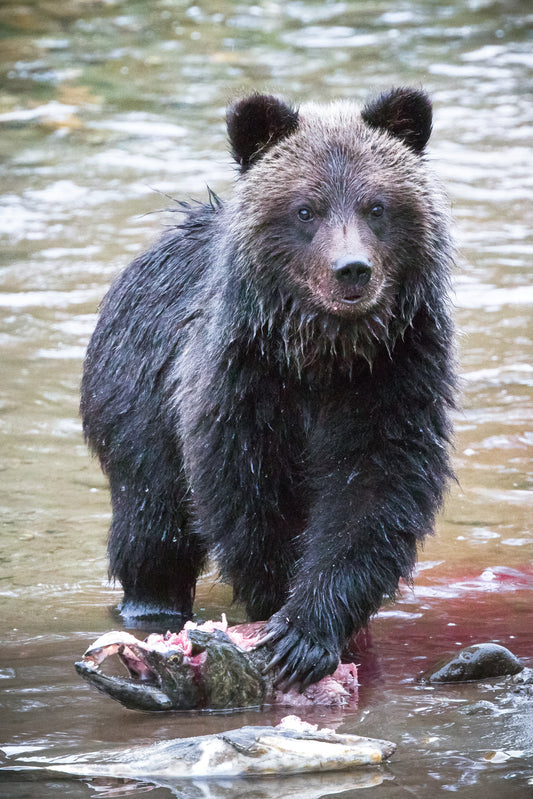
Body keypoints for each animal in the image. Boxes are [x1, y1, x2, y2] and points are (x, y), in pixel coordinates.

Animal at [80, 87, 456, 688]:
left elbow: (374, 494)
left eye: (376, 206)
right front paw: (277, 609)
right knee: (151, 526)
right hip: (135, 406)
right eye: (306, 209)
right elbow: (248, 498)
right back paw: (150, 605)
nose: (352, 269)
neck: (323, 354)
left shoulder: (395, 376)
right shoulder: (243, 384)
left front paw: (307, 632)